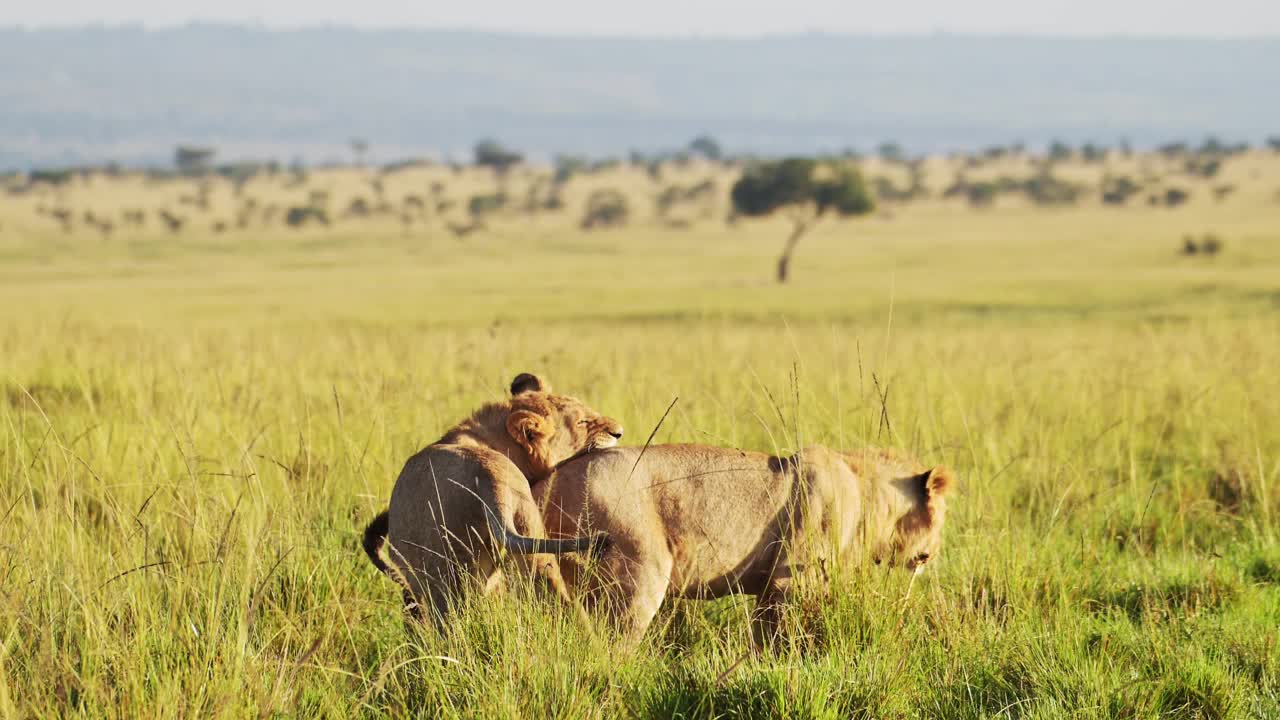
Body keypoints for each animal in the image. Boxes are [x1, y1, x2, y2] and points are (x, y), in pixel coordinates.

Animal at [535, 440, 957, 640]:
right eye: (943, 515)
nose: (934, 554)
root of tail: (547, 481)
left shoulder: (771, 585)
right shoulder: (791, 580)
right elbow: (780, 639)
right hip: (638, 571)